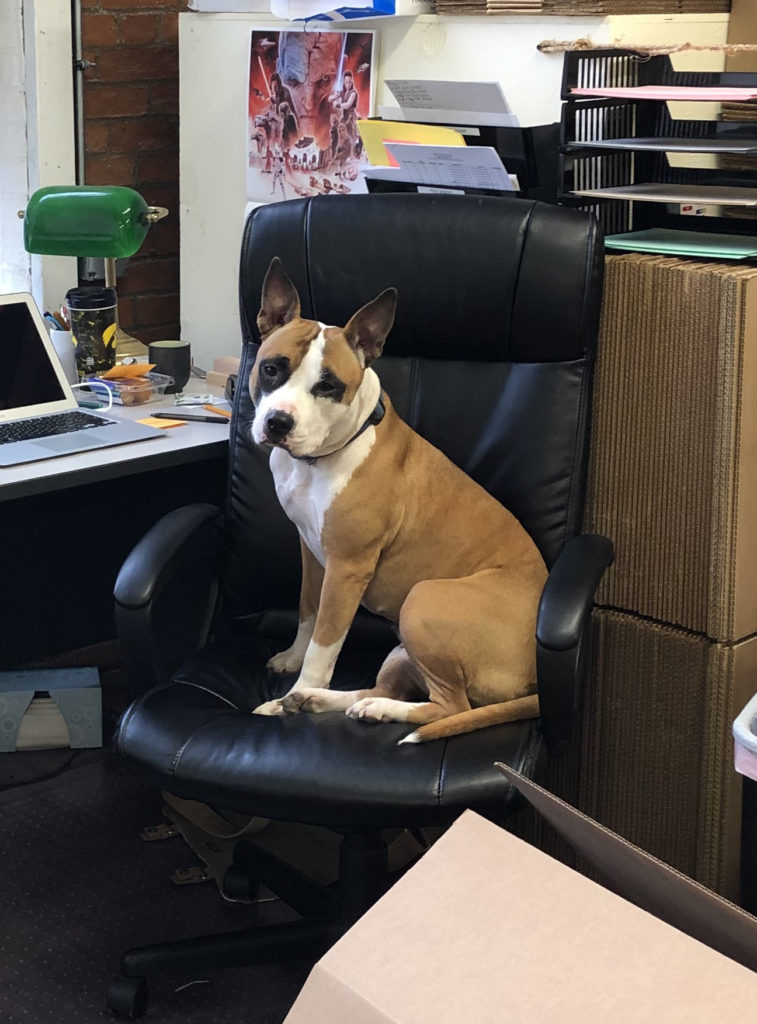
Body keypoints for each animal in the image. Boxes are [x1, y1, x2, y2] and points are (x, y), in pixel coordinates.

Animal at [251, 260, 549, 745]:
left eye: (328, 386)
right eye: (272, 369)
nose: (278, 422)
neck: (322, 458)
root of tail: (538, 676)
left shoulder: (346, 568)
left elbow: (324, 645)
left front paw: (290, 691)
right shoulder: (312, 552)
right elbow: (307, 613)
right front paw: (292, 664)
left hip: (422, 602)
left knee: (449, 706)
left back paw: (319, 701)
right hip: (401, 649)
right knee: (386, 689)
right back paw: (330, 702)